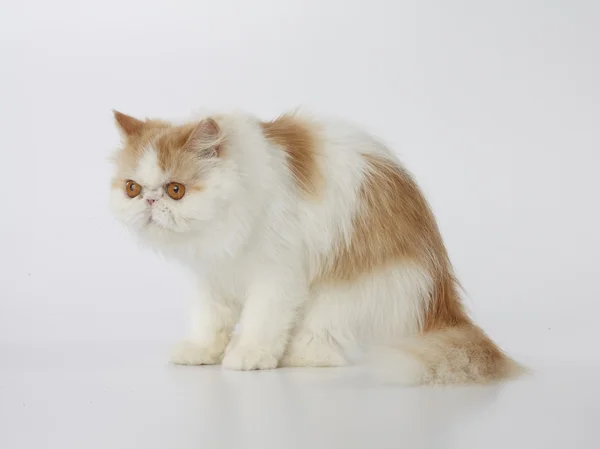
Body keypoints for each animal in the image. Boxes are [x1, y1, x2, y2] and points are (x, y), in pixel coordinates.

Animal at [110, 109, 524, 384]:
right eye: (132, 188)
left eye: (175, 190)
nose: (149, 201)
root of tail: (443, 306)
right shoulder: (213, 277)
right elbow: (209, 321)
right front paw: (202, 352)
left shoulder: (276, 273)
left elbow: (262, 319)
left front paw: (250, 354)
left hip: (343, 296)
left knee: (323, 347)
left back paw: (293, 354)